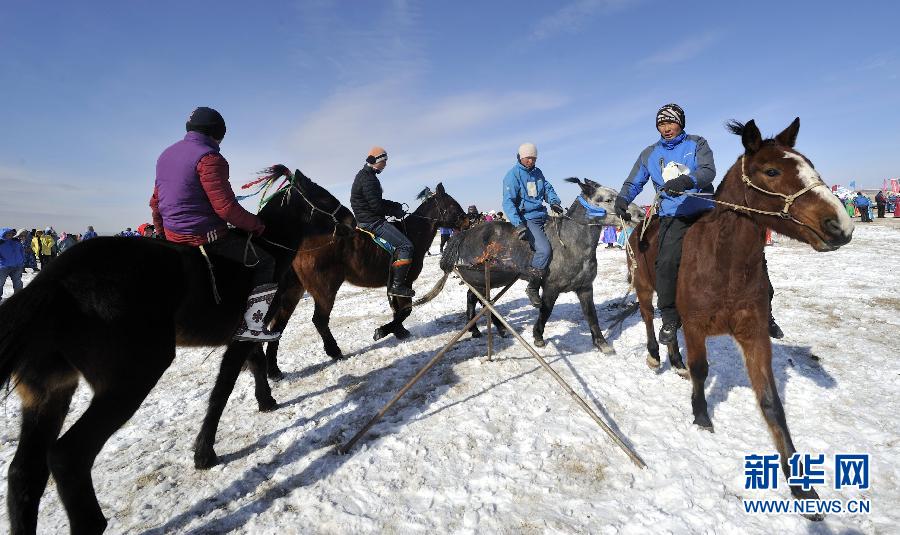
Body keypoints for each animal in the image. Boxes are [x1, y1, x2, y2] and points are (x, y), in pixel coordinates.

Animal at [0, 168, 356, 535]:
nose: (350, 219)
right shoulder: (244, 332)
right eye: (321, 195)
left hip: (49, 391)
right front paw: (204, 452)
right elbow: (223, 388)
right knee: (67, 456)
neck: (265, 246)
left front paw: (265, 400)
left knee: (24, 473)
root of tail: (53, 281)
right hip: (130, 379)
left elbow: (254, 364)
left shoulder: (247, 332)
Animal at [264, 182, 468, 370]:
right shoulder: (405, 283)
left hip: (294, 291)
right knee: (319, 320)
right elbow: (405, 310)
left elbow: (397, 310)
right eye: (452, 205)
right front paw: (382, 331)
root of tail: (301, 245)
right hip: (325, 290)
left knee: (278, 325)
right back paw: (334, 351)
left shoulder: (394, 285)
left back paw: (274, 370)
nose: (468, 220)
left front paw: (399, 332)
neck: (413, 234)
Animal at [628, 119, 856, 512]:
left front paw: (800, 485)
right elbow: (702, 371)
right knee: (647, 318)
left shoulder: (754, 334)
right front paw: (701, 415)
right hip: (644, 287)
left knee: (668, 325)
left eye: (809, 164)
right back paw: (655, 356)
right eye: (772, 171)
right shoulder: (697, 327)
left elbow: (770, 401)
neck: (726, 263)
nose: (840, 225)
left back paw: (675, 360)